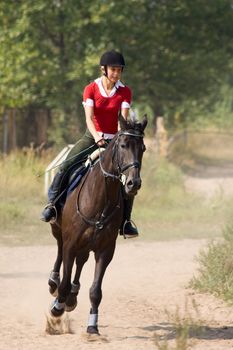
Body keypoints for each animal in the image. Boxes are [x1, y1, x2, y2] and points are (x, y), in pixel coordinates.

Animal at [47, 114, 147, 334]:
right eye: (123, 145)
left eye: (143, 148)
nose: (133, 183)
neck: (99, 199)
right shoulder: (70, 243)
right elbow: (64, 280)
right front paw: (56, 309)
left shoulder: (105, 250)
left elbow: (96, 291)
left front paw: (92, 327)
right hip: (59, 230)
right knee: (59, 252)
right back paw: (53, 282)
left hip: (87, 244)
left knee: (81, 261)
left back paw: (72, 297)